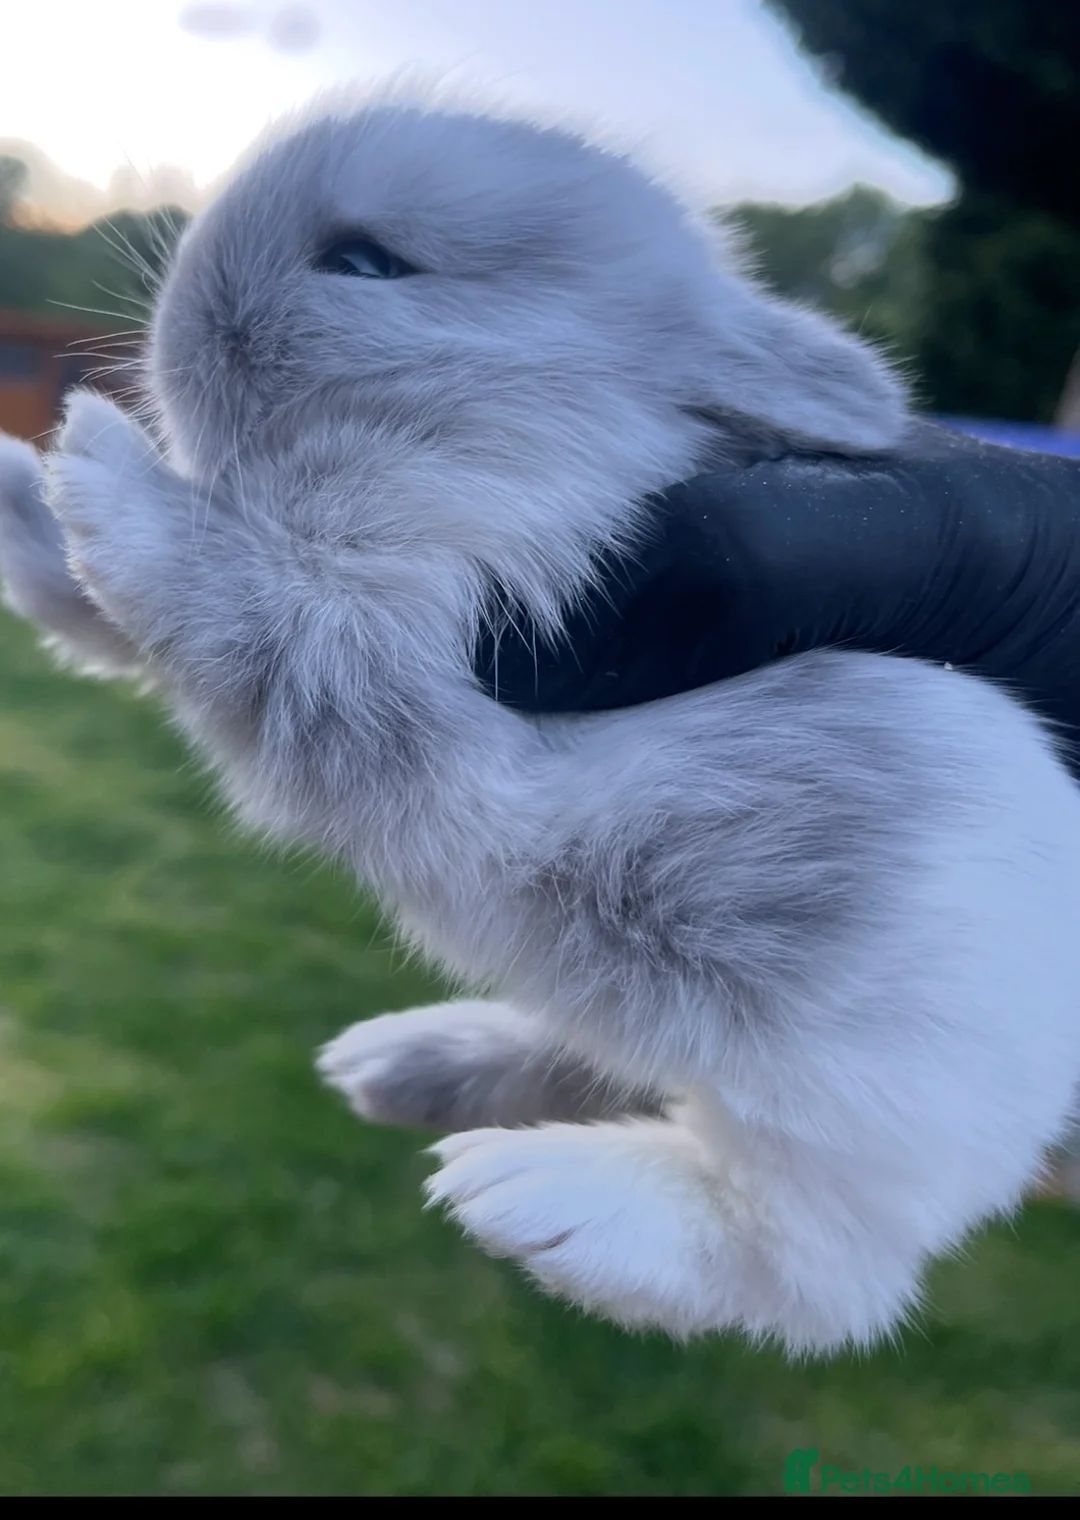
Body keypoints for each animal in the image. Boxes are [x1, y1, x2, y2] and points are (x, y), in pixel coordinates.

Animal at [3, 81, 1080, 1356]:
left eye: (366, 262)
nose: (171, 321)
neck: (486, 431)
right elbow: (109, 608)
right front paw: (20, 489)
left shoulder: (408, 645)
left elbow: (231, 587)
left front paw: (96, 456)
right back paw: (403, 1064)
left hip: (859, 1076)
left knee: (811, 1263)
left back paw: (526, 1195)